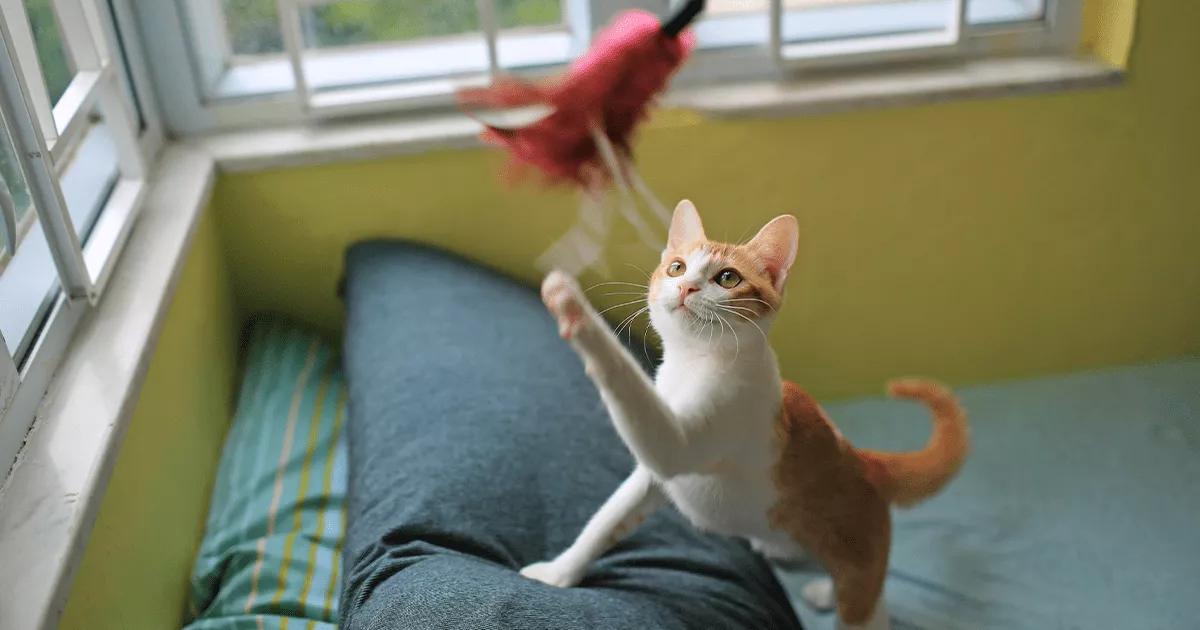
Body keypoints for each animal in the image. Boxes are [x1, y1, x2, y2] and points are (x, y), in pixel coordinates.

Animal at [520, 200, 969, 628]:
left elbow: (629, 385)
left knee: (868, 605)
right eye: (677, 267)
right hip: (788, 547)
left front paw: (573, 308)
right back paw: (825, 592)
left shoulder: (687, 438)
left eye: (728, 278)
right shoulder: (649, 479)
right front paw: (559, 572)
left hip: (854, 564)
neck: (694, 362)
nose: (686, 286)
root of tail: (864, 460)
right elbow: (606, 520)